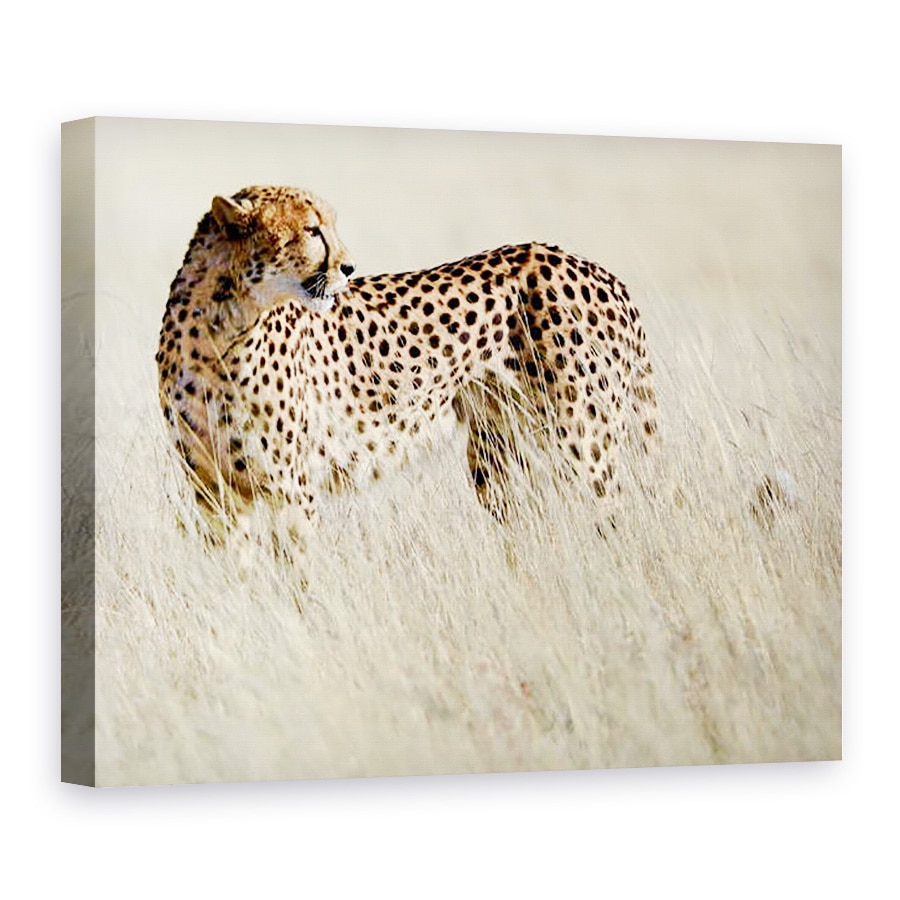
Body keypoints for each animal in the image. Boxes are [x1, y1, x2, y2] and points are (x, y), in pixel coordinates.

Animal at [156, 185, 658, 551]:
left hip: (582, 445)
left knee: (614, 519)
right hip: (497, 454)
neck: (222, 324)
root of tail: (596, 268)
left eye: (328, 226)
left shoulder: (291, 491)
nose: (349, 268)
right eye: (312, 230)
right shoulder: (215, 493)